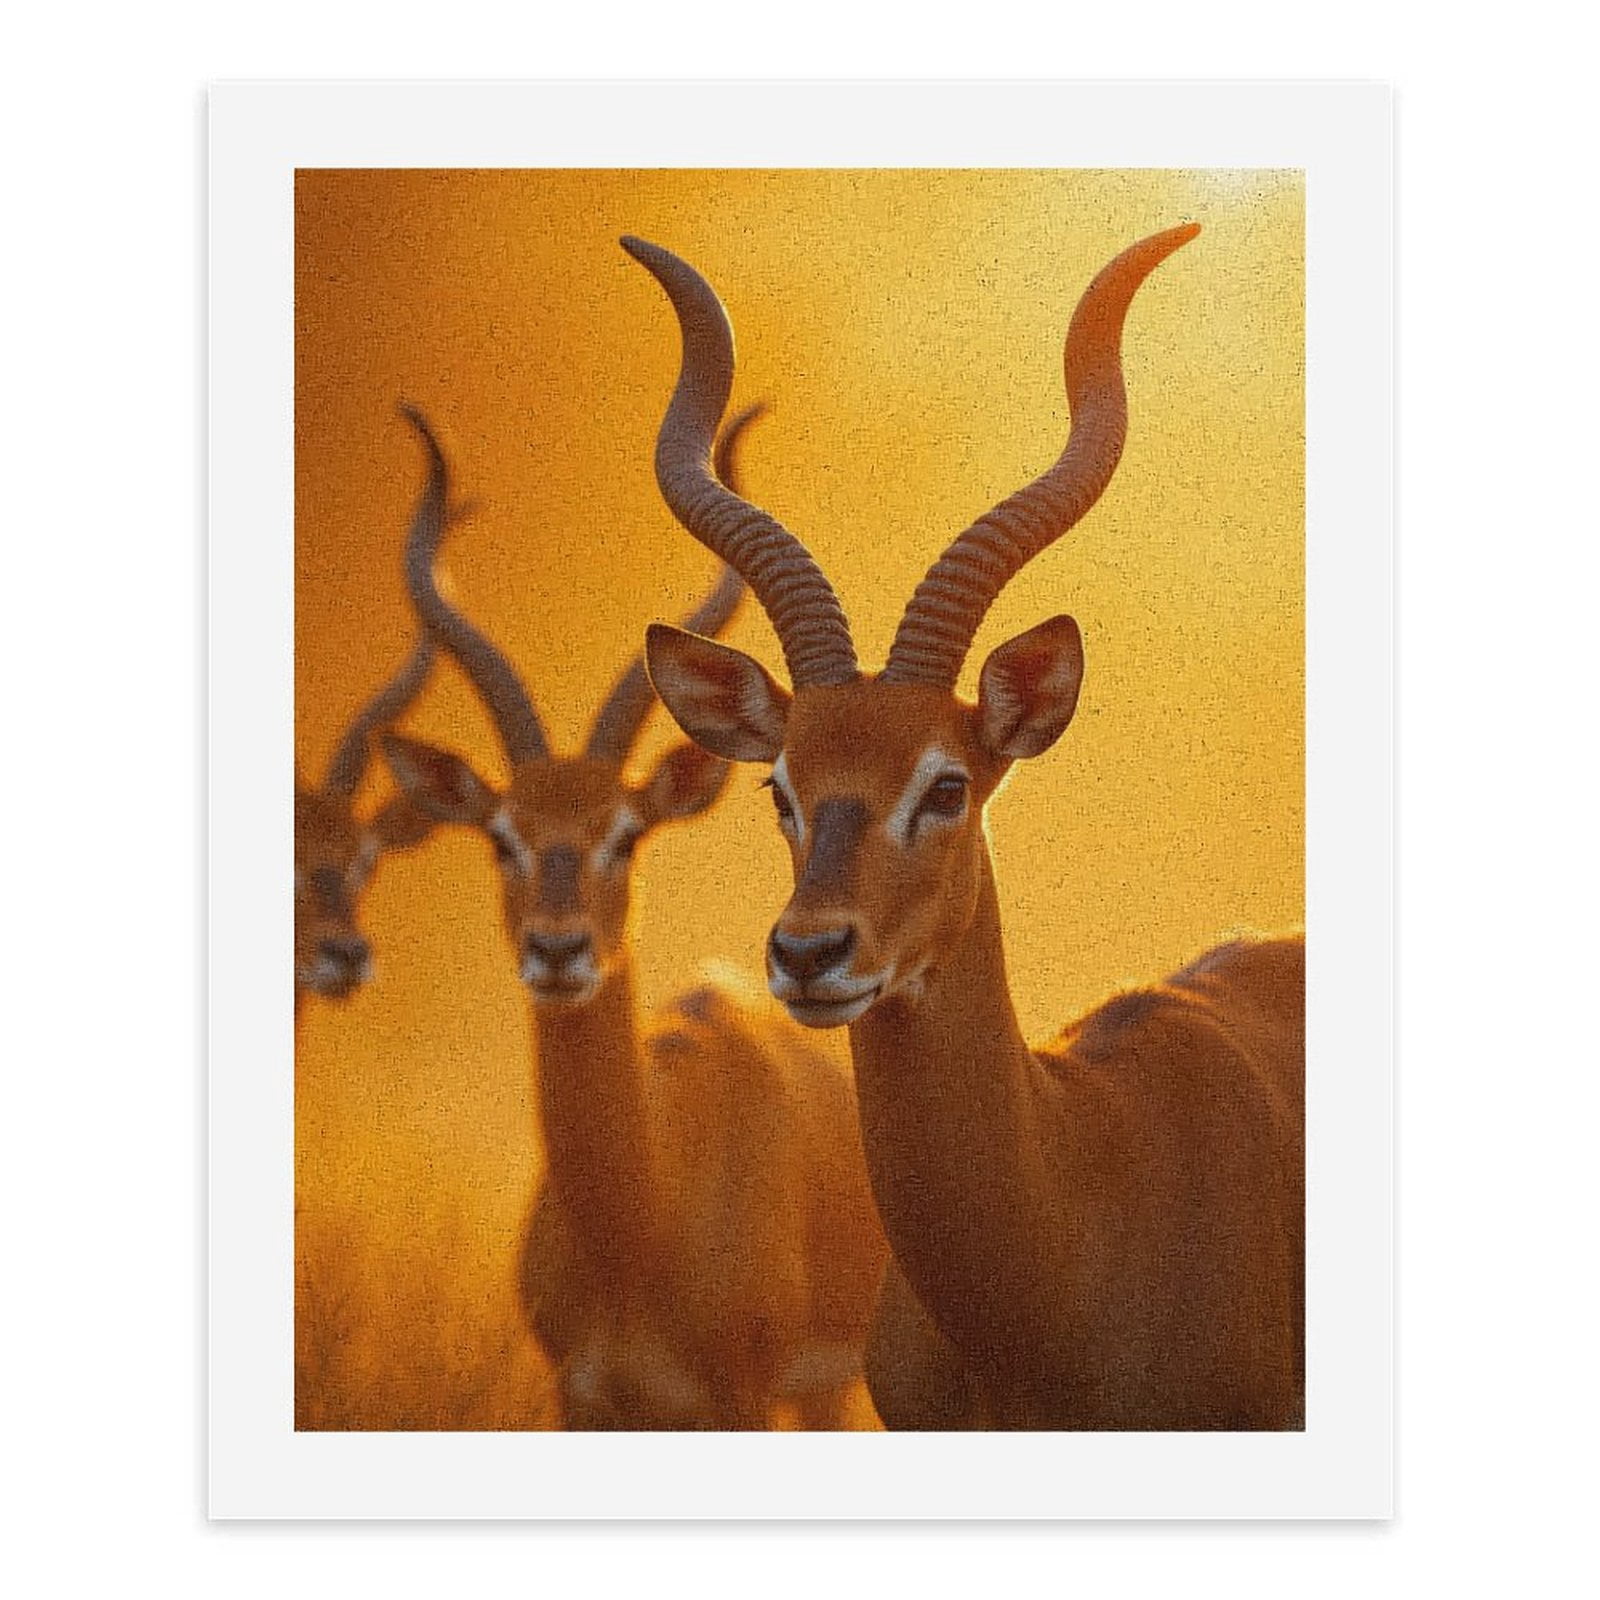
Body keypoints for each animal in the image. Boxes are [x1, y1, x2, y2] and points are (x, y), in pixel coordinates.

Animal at [380, 406, 887, 1429]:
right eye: (501, 837)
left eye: (626, 835)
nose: (559, 949)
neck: (641, 1225)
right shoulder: (582, 1401)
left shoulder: (738, 1402)